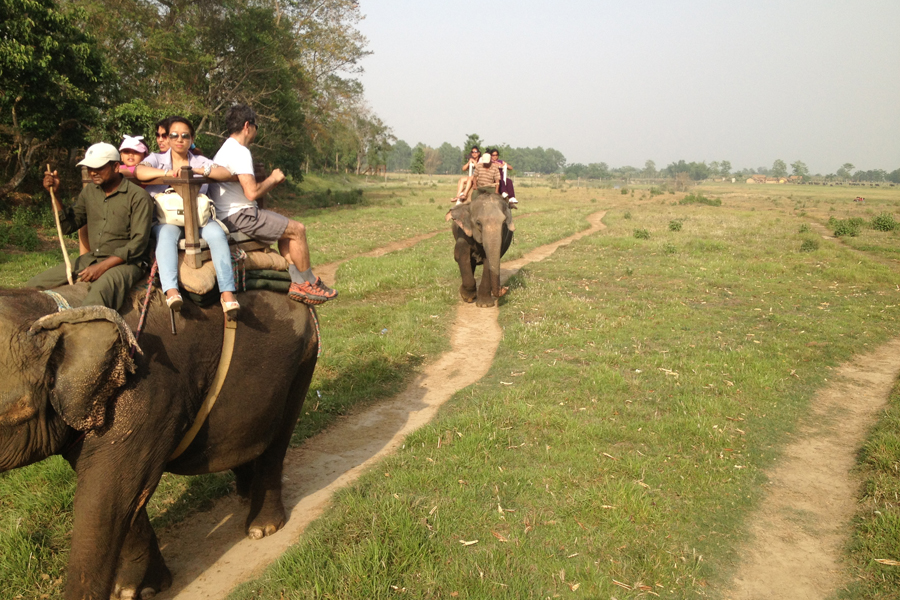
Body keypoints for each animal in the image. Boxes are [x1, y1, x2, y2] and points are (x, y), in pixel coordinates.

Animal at [0, 288, 320, 600]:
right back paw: (244, 495)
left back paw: (262, 528)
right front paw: (140, 589)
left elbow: (107, 498)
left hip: (302, 360)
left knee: (278, 438)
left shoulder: (143, 394)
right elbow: (126, 495)